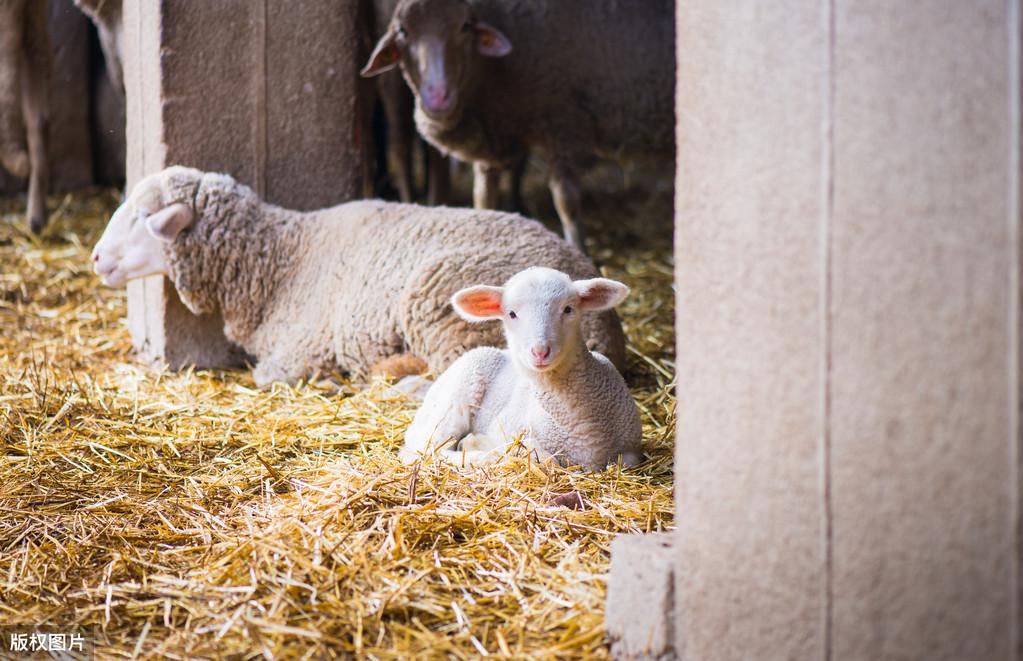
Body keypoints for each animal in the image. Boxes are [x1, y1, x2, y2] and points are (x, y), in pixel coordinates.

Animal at [96, 166, 626, 388]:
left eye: (143, 216)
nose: (98, 258)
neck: (281, 256)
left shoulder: (300, 350)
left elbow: (268, 377)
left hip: (442, 310)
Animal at [356, 0, 675, 252]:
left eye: (465, 27)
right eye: (403, 32)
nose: (438, 96)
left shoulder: (562, 122)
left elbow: (566, 203)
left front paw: (579, 250)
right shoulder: (492, 140)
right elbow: (483, 199)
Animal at [398, 266, 638, 470]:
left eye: (568, 309)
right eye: (511, 314)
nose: (540, 351)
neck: (583, 427)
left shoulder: (631, 451)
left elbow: (623, 462)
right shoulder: (505, 426)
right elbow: (541, 455)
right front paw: (478, 444)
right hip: (454, 397)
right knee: (426, 448)